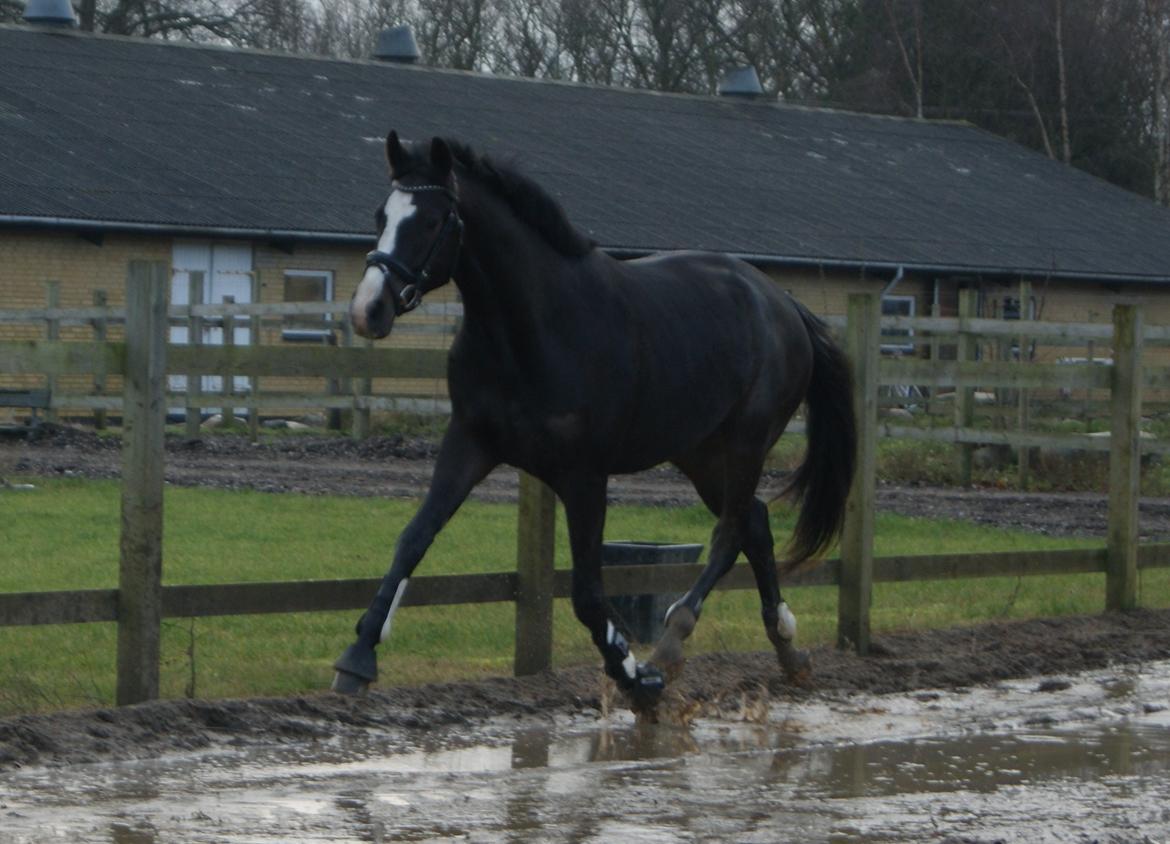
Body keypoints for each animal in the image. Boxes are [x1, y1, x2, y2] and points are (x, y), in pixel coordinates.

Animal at [334, 133, 856, 711]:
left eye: (429, 220)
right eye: (381, 215)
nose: (367, 311)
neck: (533, 329)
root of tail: (782, 303)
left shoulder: (584, 475)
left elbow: (587, 592)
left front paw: (635, 679)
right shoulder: (469, 443)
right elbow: (413, 540)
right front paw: (358, 658)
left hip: (745, 444)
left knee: (731, 530)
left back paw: (670, 646)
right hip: (698, 452)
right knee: (756, 524)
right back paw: (788, 649)